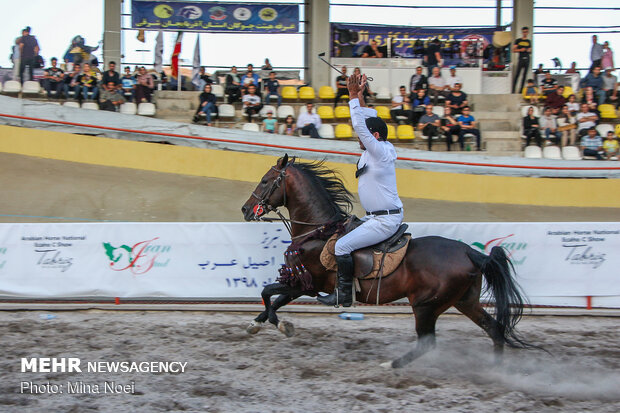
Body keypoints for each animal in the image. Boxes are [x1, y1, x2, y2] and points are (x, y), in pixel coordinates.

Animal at [240, 154, 532, 366]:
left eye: (265, 180)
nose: (245, 209)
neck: (318, 231)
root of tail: (470, 252)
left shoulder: (306, 284)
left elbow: (268, 294)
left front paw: (282, 326)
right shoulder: (302, 283)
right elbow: (274, 299)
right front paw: (255, 325)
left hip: (426, 306)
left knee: (429, 342)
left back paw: (391, 365)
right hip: (464, 301)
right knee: (494, 329)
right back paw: (496, 370)